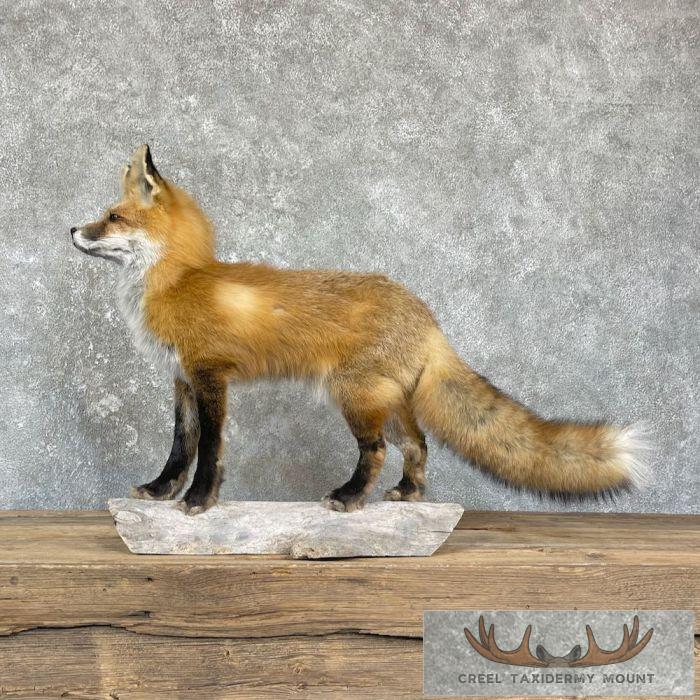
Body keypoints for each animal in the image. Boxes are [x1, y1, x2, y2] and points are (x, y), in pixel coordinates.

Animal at [71, 145, 648, 515]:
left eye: (114, 217)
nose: (72, 228)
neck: (177, 281)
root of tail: (427, 315)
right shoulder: (182, 380)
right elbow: (180, 446)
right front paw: (161, 491)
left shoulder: (210, 375)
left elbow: (209, 450)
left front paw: (197, 501)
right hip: (387, 401)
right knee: (418, 446)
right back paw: (408, 497)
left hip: (354, 396)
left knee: (377, 451)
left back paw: (349, 499)